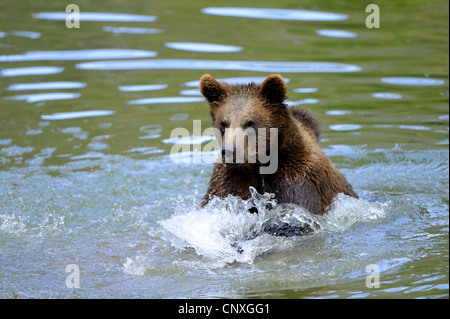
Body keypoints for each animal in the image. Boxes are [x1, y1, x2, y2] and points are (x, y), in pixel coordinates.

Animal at [199, 74, 356, 216]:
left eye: (250, 123)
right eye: (223, 123)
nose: (229, 151)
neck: (259, 165)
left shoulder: (297, 181)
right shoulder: (228, 183)